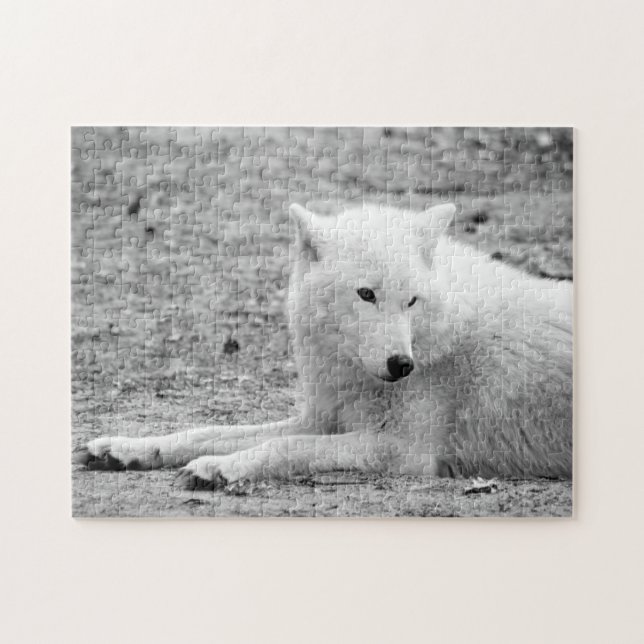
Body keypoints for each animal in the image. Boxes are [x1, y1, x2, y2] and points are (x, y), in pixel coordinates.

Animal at [75, 202, 573, 488]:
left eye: (411, 301)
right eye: (366, 294)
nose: (402, 364)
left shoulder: (403, 451)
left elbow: (288, 449)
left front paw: (220, 468)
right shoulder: (322, 419)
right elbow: (205, 432)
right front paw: (128, 448)